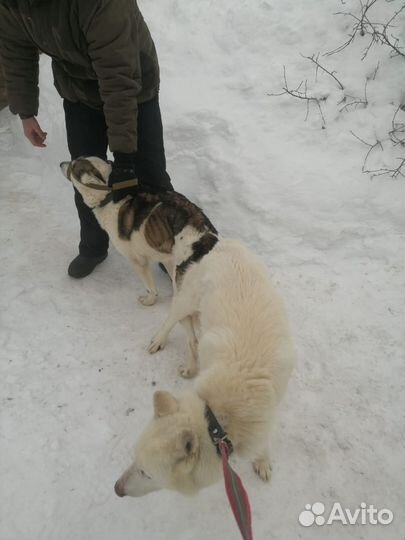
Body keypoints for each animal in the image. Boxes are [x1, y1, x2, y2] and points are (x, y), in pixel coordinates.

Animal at [59, 158, 218, 306]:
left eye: (73, 166)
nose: (60, 164)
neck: (109, 196)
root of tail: (202, 229)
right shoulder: (167, 258)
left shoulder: (137, 260)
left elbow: (151, 288)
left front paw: (149, 300)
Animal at [113, 239, 294, 498]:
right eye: (134, 459)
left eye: (146, 473)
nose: (116, 489)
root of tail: (221, 242)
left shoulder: (268, 409)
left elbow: (264, 441)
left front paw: (263, 461)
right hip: (186, 302)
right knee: (172, 323)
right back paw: (162, 343)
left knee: (190, 337)